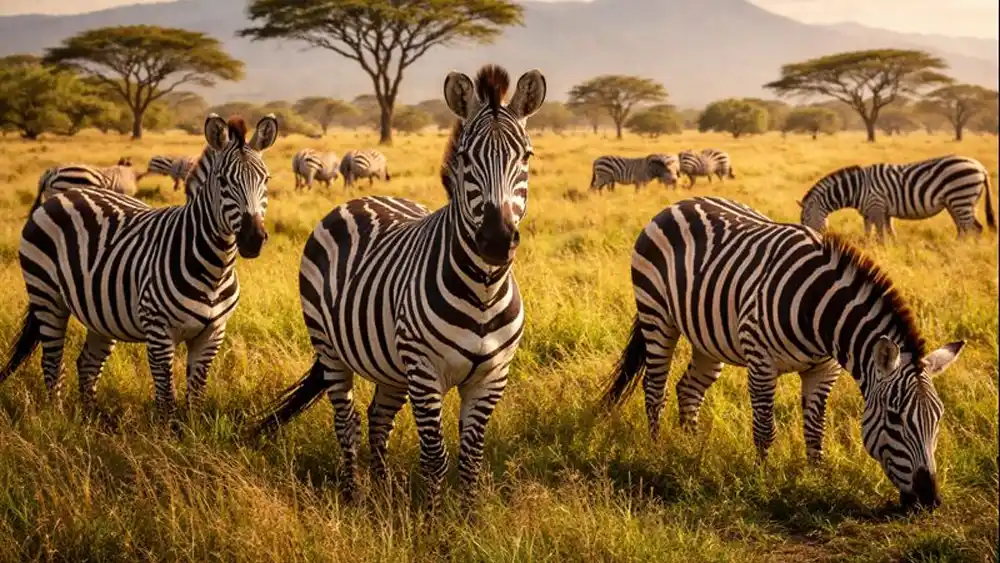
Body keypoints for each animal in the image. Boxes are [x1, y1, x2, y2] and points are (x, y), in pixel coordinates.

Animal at [0, 114, 279, 425]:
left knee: (87, 363)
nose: (253, 239)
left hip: (101, 312)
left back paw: (92, 420)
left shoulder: (212, 334)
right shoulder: (159, 331)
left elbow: (195, 395)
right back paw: (58, 419)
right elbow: (166, 396)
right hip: (47, 296)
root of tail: (63, 193)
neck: (214, 268)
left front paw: (193, 432)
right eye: (223, 181)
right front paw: (168, 434)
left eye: (265, 180)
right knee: (52, 362)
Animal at [249, 64, 546, 509]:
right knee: (347, 421)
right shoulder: (425, 371)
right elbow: (436, 457)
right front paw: (433, 519)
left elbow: (471, 458)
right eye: (465, 158)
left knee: (378, 417)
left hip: (391, 364)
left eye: (525, 156)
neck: (483, 290)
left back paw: (383, 487)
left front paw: (469, 517)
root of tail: (364, 198)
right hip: (330, 347)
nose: (495, 240)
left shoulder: (492, 376)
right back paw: (355, 493)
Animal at [599, 196, 964, 511]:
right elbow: (765, 429)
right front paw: (762, 479)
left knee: (688, 389)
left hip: (708, 337)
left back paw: (688, 447)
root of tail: (679, 202)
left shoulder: (823, 370)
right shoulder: (761, 361)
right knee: (655, 388)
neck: (820, 314)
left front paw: (817, 478)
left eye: (938, 418)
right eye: (893, 418)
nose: (929, 500)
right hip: (656, 315)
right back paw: (658, 448)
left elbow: (815, 429)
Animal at [798, 155, 996, 242]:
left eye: (805, 219)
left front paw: (882, 248)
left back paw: (964, 252)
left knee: (973, 228)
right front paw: (882, 247)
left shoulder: (876, 206)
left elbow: (880, 233)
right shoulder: (875, 212)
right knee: (967, 229)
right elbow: (876, 231)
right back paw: (958, 247)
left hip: (961, 198)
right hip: (958, 202)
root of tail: (981, 167)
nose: (812, 237)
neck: (857, 189)